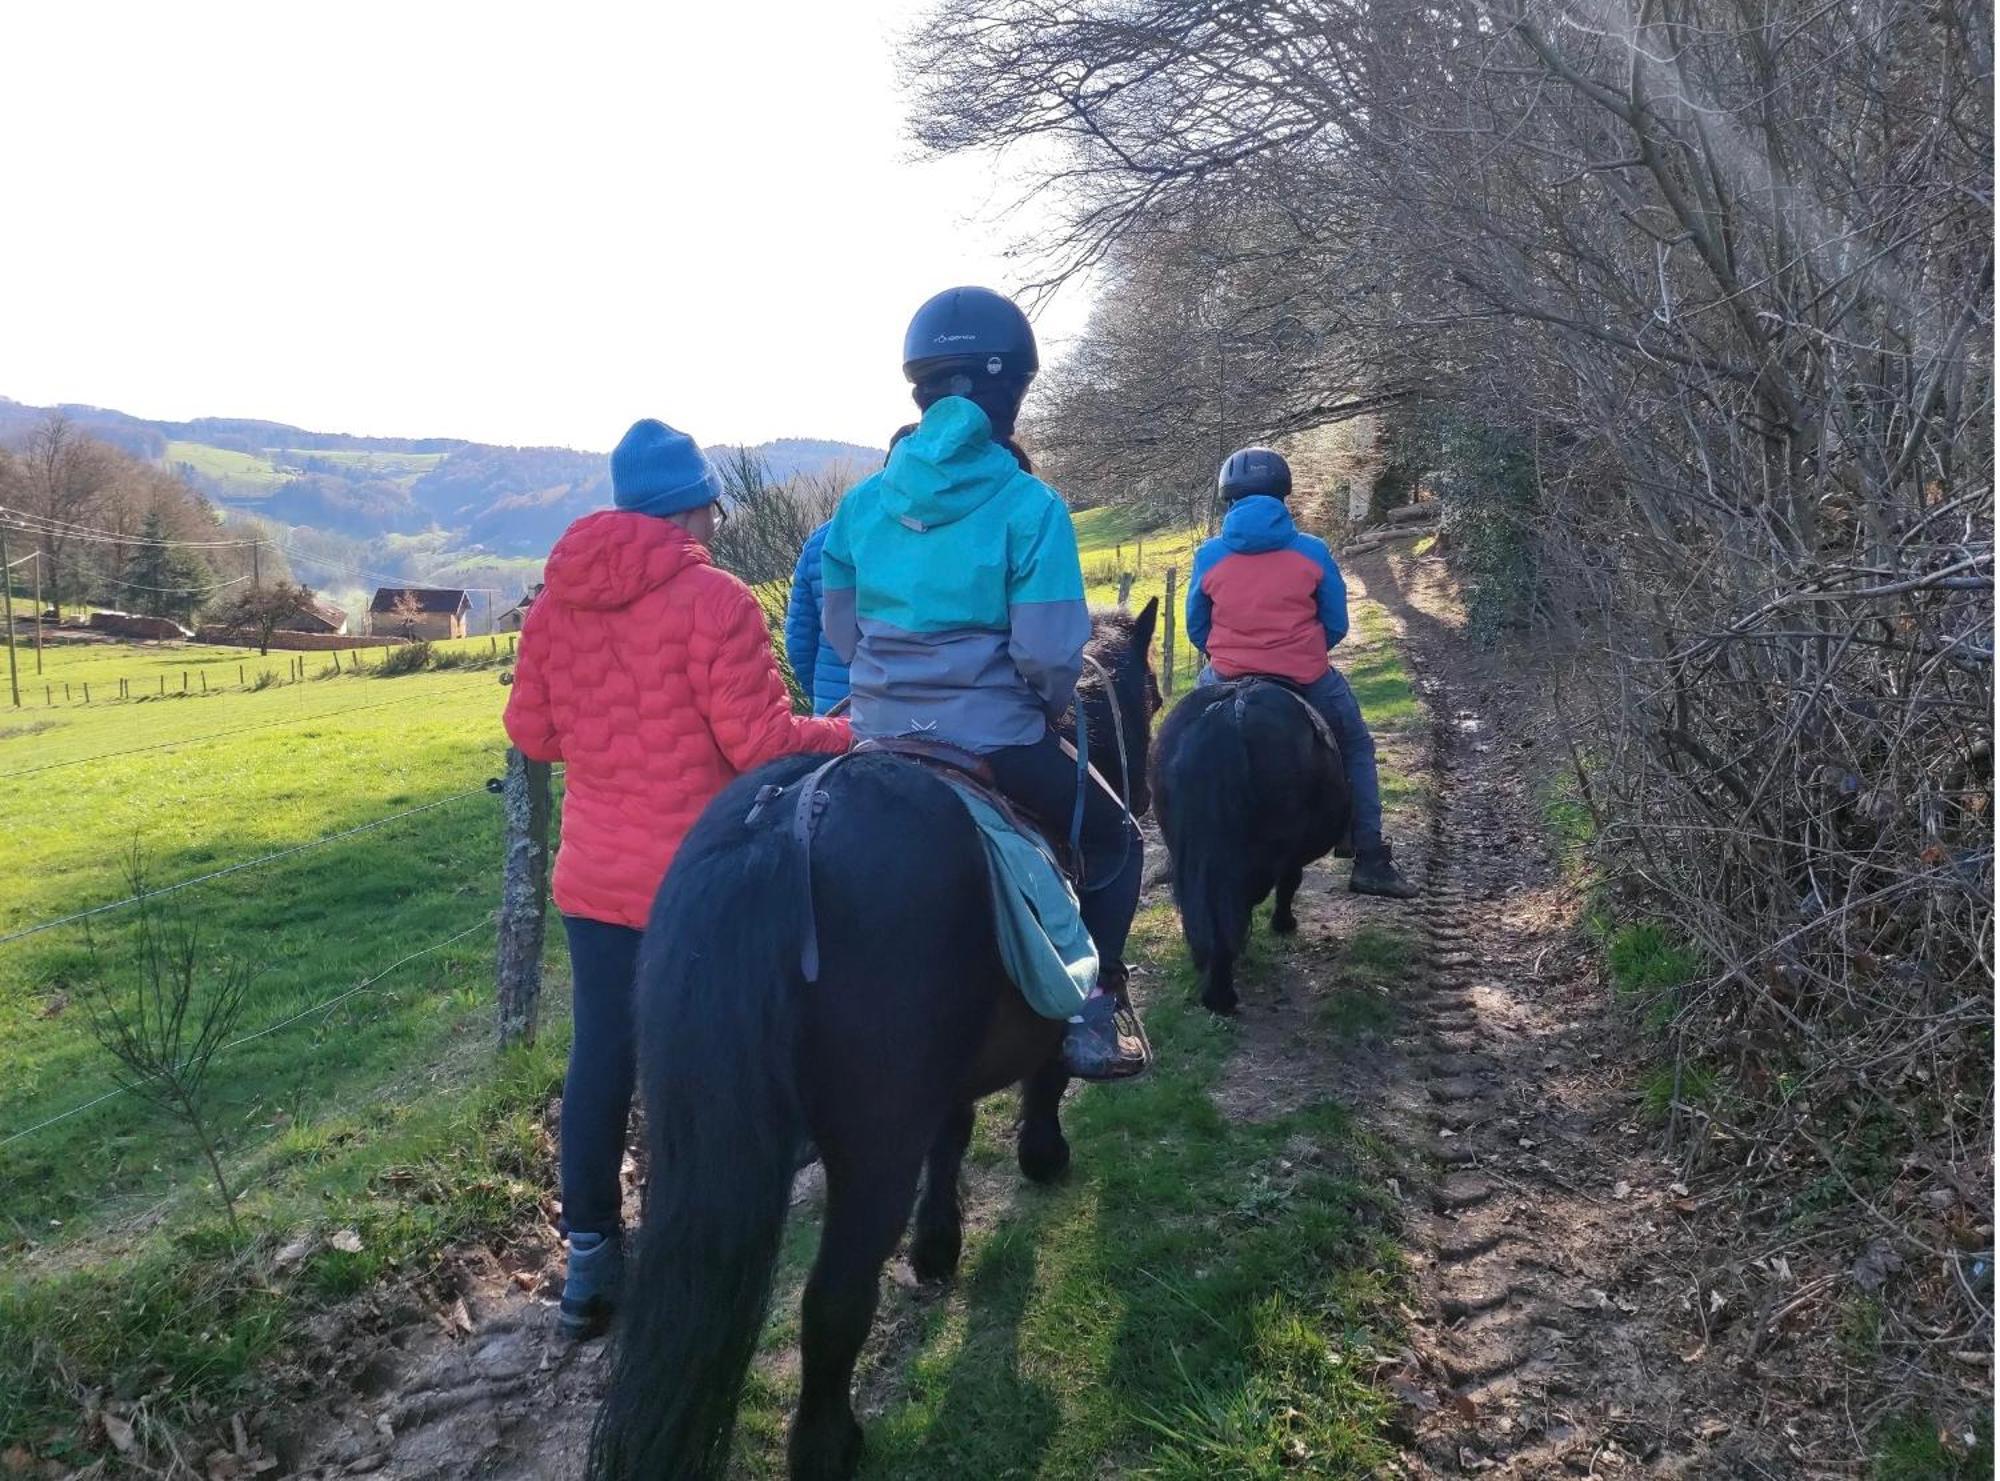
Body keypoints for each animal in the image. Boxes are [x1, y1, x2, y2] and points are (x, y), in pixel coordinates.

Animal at [584, 600, 1168, 1481]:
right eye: (1156, 695)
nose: (1151, 797)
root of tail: (779, 826)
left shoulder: (944, 1073)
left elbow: (953, 1134)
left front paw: (937, 1244)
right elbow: (1045, 1077)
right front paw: (1042, 1155)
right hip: (872, 1145)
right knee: (832, 1297)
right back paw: (828, 1443)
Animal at [1152, 672, 1352, 1012]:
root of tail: (1227, 715)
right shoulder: (1288, 856)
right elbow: (1290, 883)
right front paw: (1283, 923)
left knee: (1205, 908)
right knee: (1236, 904)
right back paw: (1222, 993)